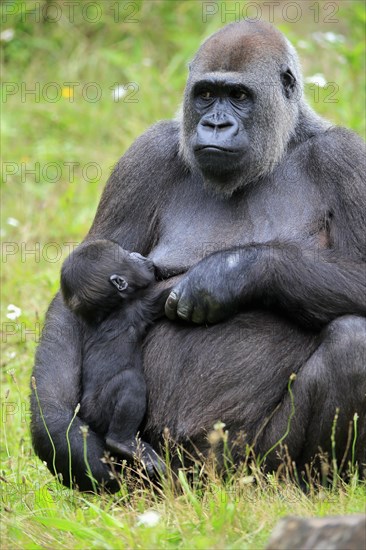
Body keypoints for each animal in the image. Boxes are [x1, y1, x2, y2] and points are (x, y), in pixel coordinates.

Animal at [60, 242, 168, 478]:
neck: (109, 309)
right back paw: (122, 442)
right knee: (130, 383)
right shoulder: (138, 305)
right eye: (128, 256)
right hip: (98, 409)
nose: (138, 254)